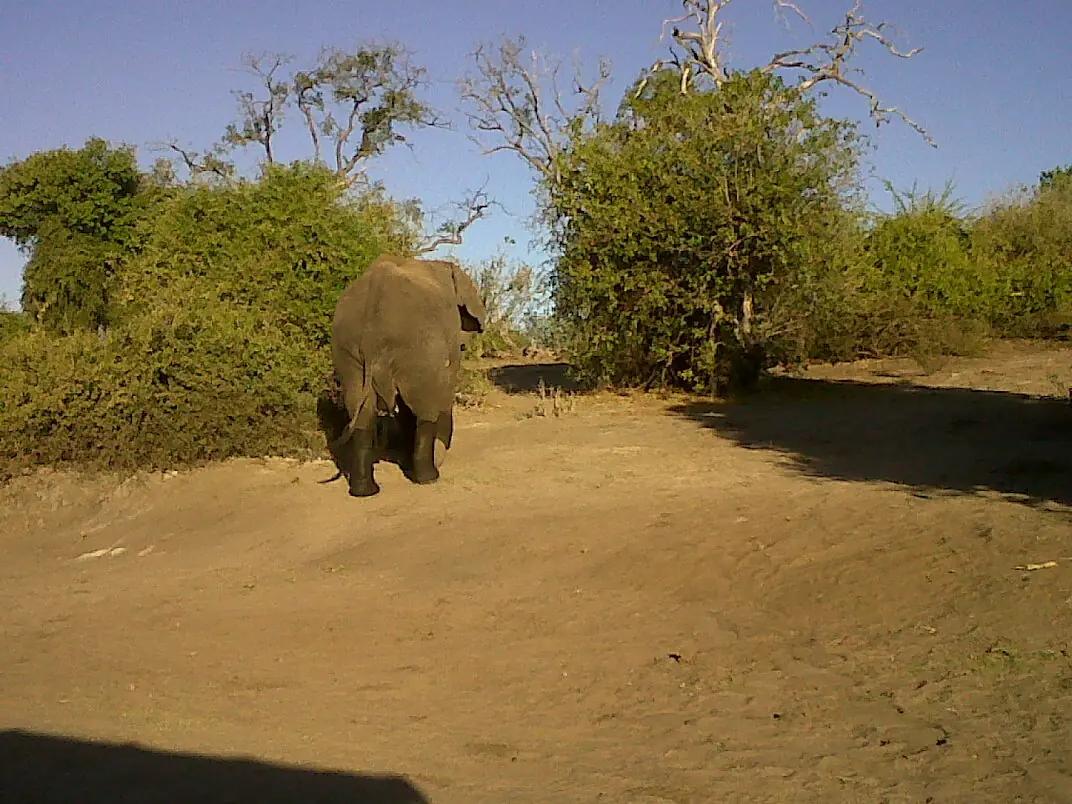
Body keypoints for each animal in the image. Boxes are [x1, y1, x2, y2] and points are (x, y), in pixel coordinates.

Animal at [328, 253, 486, 497]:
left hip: (347, 346)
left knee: (360, 409)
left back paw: (365, 491)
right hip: (417, 344)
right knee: (425, 405)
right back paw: (428, 478)